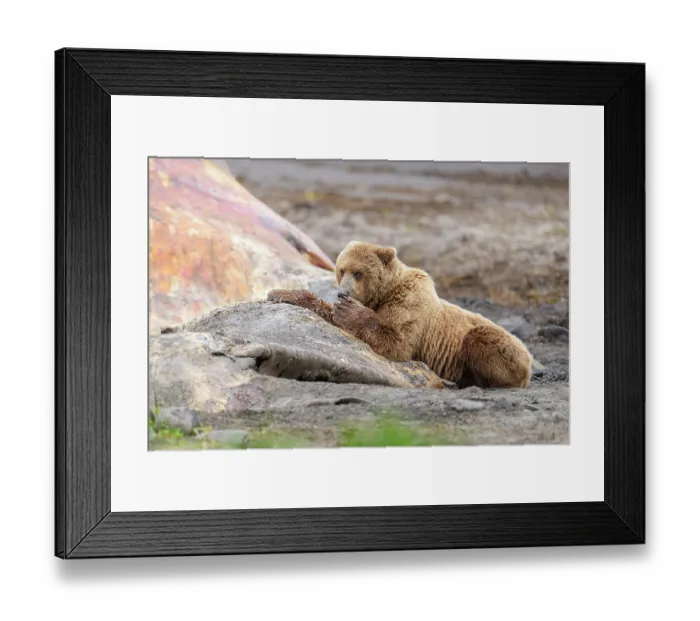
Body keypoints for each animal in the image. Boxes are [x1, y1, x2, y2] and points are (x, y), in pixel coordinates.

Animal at [267, 241, 533, 389]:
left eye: (359, 272)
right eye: (341, 270)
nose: (343, 293)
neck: (386, 293)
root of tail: (529, 358)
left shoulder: (409, 304)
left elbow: (397, 343)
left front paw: (351, 311)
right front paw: (280, 293)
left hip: (503, 347)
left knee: (480, 339)